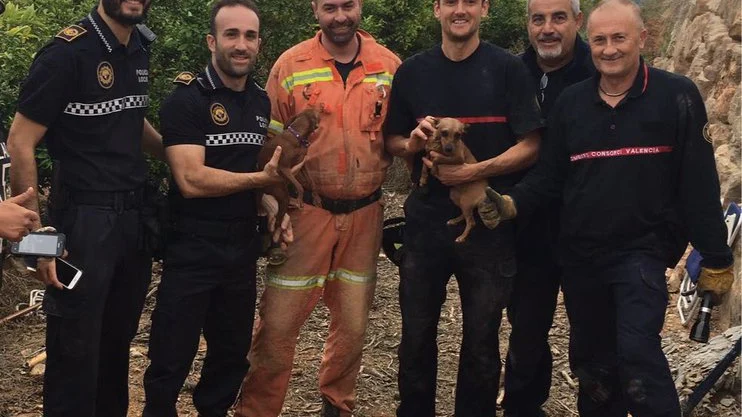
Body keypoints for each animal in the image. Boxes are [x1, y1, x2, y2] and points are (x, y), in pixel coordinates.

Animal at [258, 108, 320, 264]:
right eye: (317, 113)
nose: (322, 107)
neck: (297, 134)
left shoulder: (302, 165)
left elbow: (312, 183)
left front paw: (316, 198)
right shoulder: (285, 168)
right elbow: (300, 186)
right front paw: (300, 199)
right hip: (281, 193)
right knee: (276, 224)